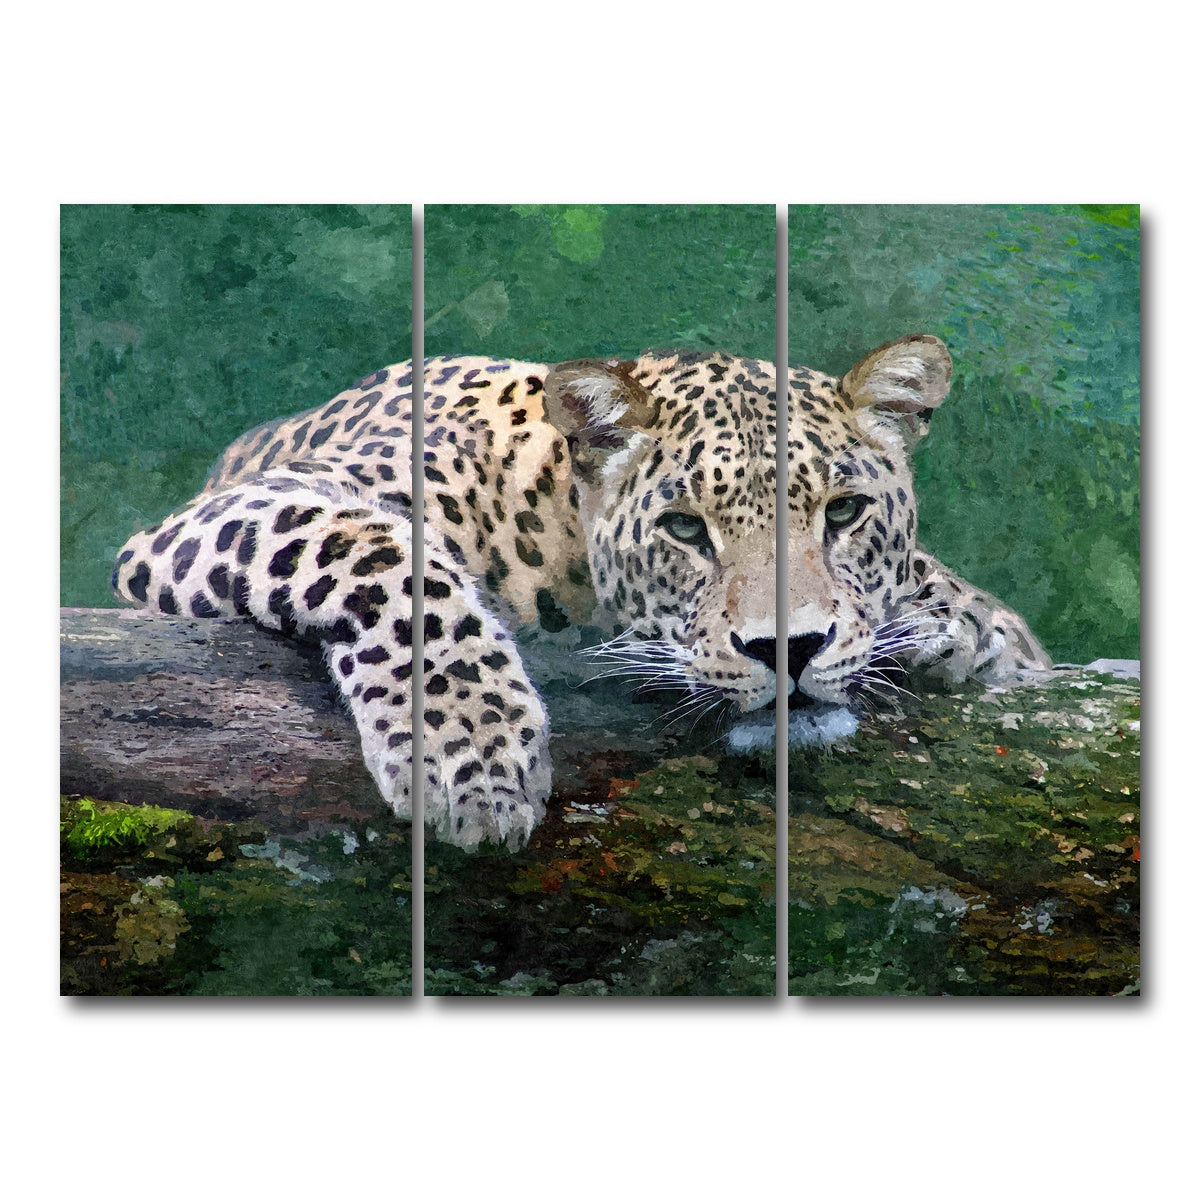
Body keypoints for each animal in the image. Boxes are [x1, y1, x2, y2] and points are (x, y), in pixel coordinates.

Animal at [113, 334, 1050, 851]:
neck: (553, 527)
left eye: (845, 512)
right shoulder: (242, 508)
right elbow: (390, 562)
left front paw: (960, 627)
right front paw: (475, 760)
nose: (788, 650)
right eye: (684, 529)